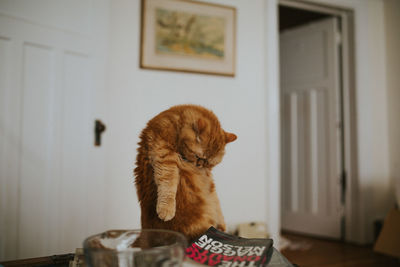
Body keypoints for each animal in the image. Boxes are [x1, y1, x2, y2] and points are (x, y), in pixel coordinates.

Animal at [134, 105, 236, 243]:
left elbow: (216, 201)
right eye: (198, 157)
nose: (200, 165)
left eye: (208, 163)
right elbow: (168, 183)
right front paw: (166, 209)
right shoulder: (164, 153)